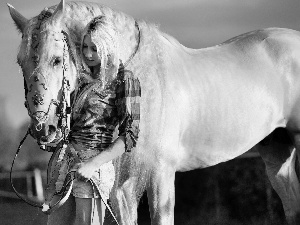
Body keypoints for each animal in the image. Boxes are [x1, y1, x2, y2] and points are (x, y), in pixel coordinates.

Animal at [7, 0, 300, 224]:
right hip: (277, 150)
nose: (43, 129)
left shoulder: (160, 173)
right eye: (20, 63)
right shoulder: (121, 186)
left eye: (57, 59)